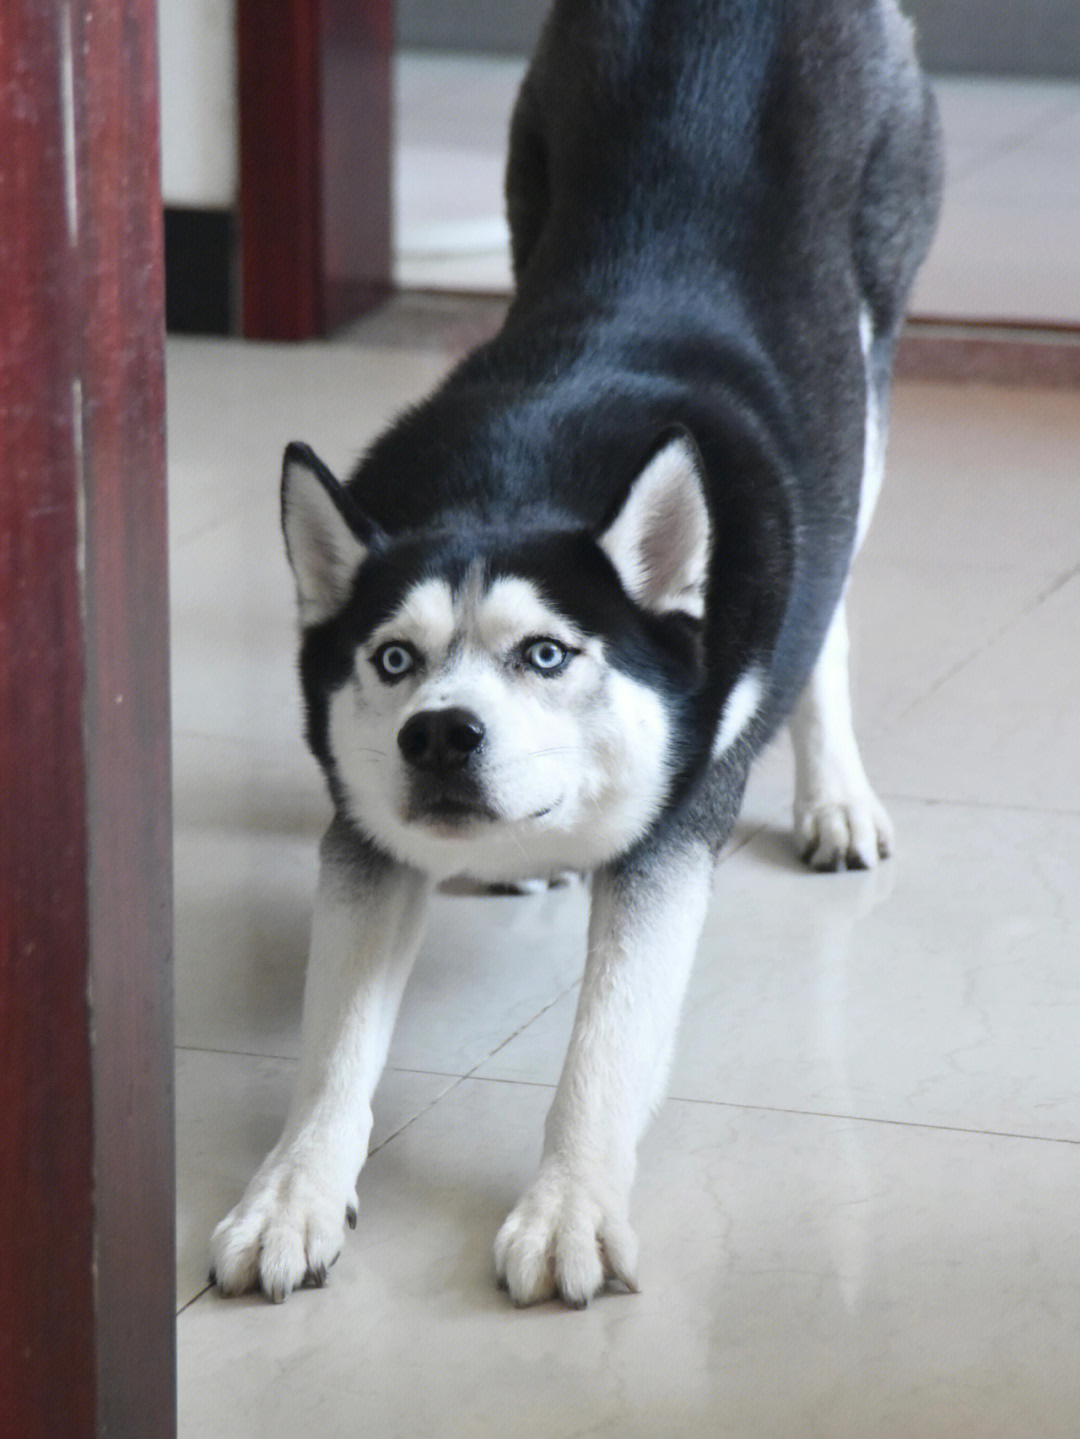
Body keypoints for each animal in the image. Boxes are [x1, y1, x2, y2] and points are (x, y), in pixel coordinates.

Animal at [211, 0, 937, 1306]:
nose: (441, 735)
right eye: (392, 661)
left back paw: (835, 794)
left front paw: (568, 1208)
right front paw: (292, 1190)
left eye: (549, 655)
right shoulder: (365, 834)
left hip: (870, 367)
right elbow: (335, 1042)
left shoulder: (673, 829)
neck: (519, 475)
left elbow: (607, 1039)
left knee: (834, 593)